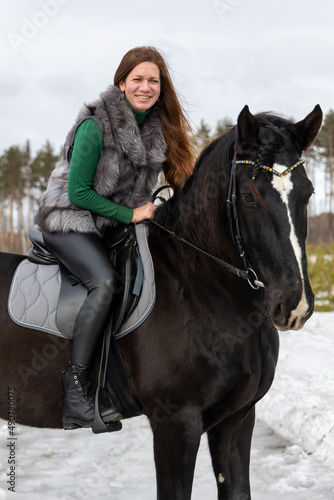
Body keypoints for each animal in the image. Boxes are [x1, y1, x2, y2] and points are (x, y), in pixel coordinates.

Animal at [0, 103, 324, 498]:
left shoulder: (237, 419)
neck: (204, 290)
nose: (294, 304)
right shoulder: (176, 423)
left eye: (308, 193)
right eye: (249, 197)